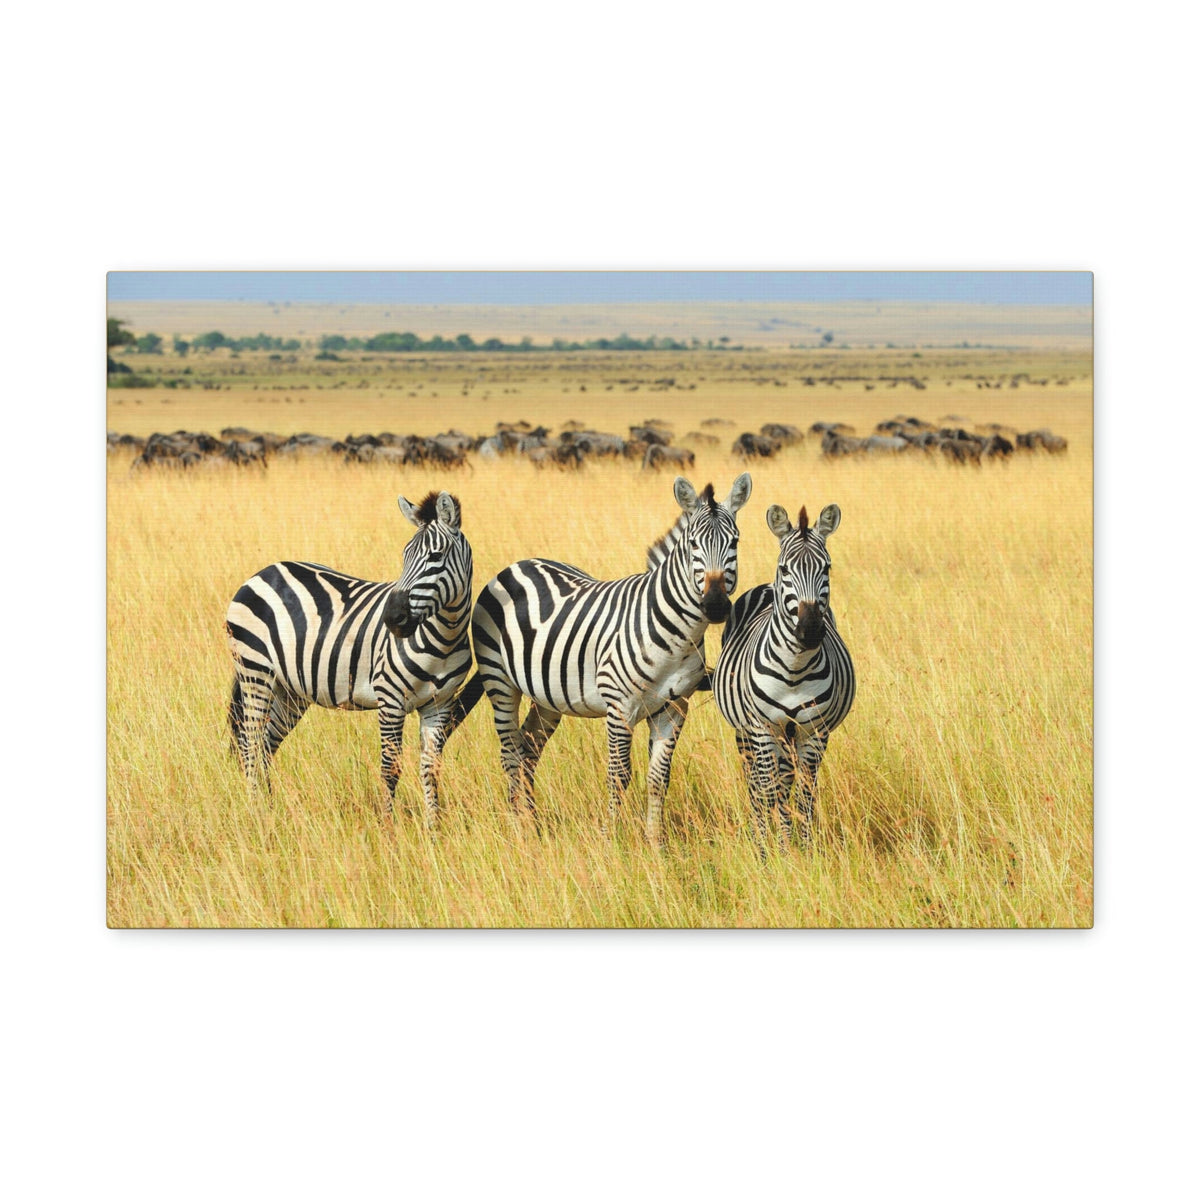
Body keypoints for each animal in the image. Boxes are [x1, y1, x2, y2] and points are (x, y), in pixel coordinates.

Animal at [224, 490, 473, 827]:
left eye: (436, 556)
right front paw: (388, 828)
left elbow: (431, 769)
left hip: (289, 691)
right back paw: (255, 813)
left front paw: (433, 829)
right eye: (404, 556)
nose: (393, 619)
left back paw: (270, 809)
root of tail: (263, 572)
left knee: (265, 746)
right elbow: (390, 769)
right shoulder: (390, 699)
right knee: (250, 744)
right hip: (256, 673)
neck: (444, 638)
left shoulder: (440, 704)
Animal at [466, 473, 752, 844]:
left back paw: (534, 824)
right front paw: (611, 840)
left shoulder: (673, 709)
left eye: (735, 542)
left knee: (528, 748)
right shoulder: (619, 707)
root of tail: (517, 564)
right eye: (692, 544)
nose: (715, 605)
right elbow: (619, 775)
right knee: (510, 754)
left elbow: (659, 779)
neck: (676, 634)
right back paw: (519, 828)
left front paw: (655, 844)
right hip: (500, 682)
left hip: (547, 696)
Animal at [713, 502, 855, 850]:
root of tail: (765, 585)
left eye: (827, 568)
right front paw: (770, 850)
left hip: (790, 736)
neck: (795, 668)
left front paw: (802, 848)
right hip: (747, 732)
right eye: (785, 570)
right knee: (756, 781)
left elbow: (804, 794)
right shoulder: (762, 728)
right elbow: (768, 790)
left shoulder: (814, 732)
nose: (811, 630)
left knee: (787, 781)